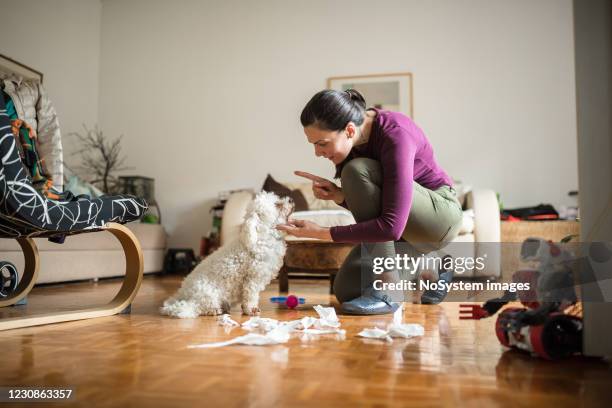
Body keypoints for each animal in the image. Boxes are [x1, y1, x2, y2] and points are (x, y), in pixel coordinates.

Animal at [160, 191, 294, 318]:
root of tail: (182, 293)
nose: (291, 200)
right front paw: (251, 310)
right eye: (277, 204)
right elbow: (251, 296)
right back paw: (214, 310)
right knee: (199, 307)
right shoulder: (252, 279)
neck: (262, 237)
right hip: (207, 293)